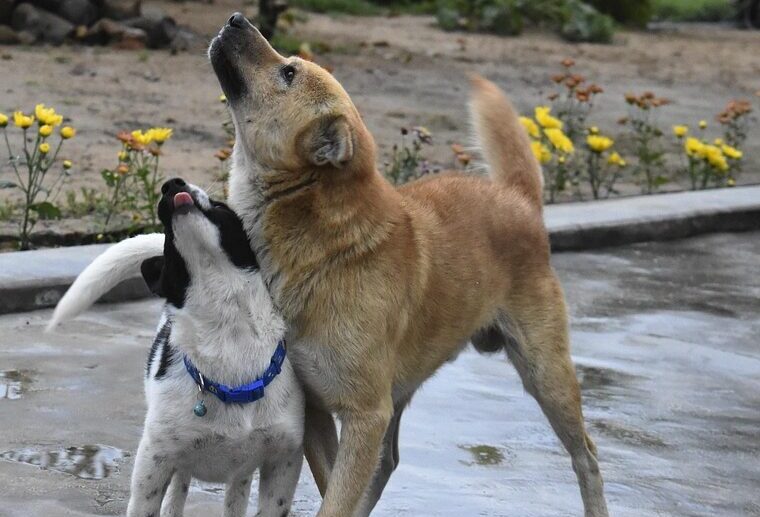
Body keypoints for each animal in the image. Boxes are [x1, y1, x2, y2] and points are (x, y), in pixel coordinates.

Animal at [48, 178, 304, 517]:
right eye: (169, 237)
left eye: (222, 207)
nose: (171, 184)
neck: (229, 339)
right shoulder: (154, 460)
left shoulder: (283, 461)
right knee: (179, 487)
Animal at [210, 13, 609, 517]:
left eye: (289, 72)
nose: (236, 18)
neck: (323, 246)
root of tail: (518, 198)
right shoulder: (318, 413)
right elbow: (337, 491)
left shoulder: (365, 416)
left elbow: (337, 500)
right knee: (388, 463)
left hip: (546, 375)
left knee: (587, 456)